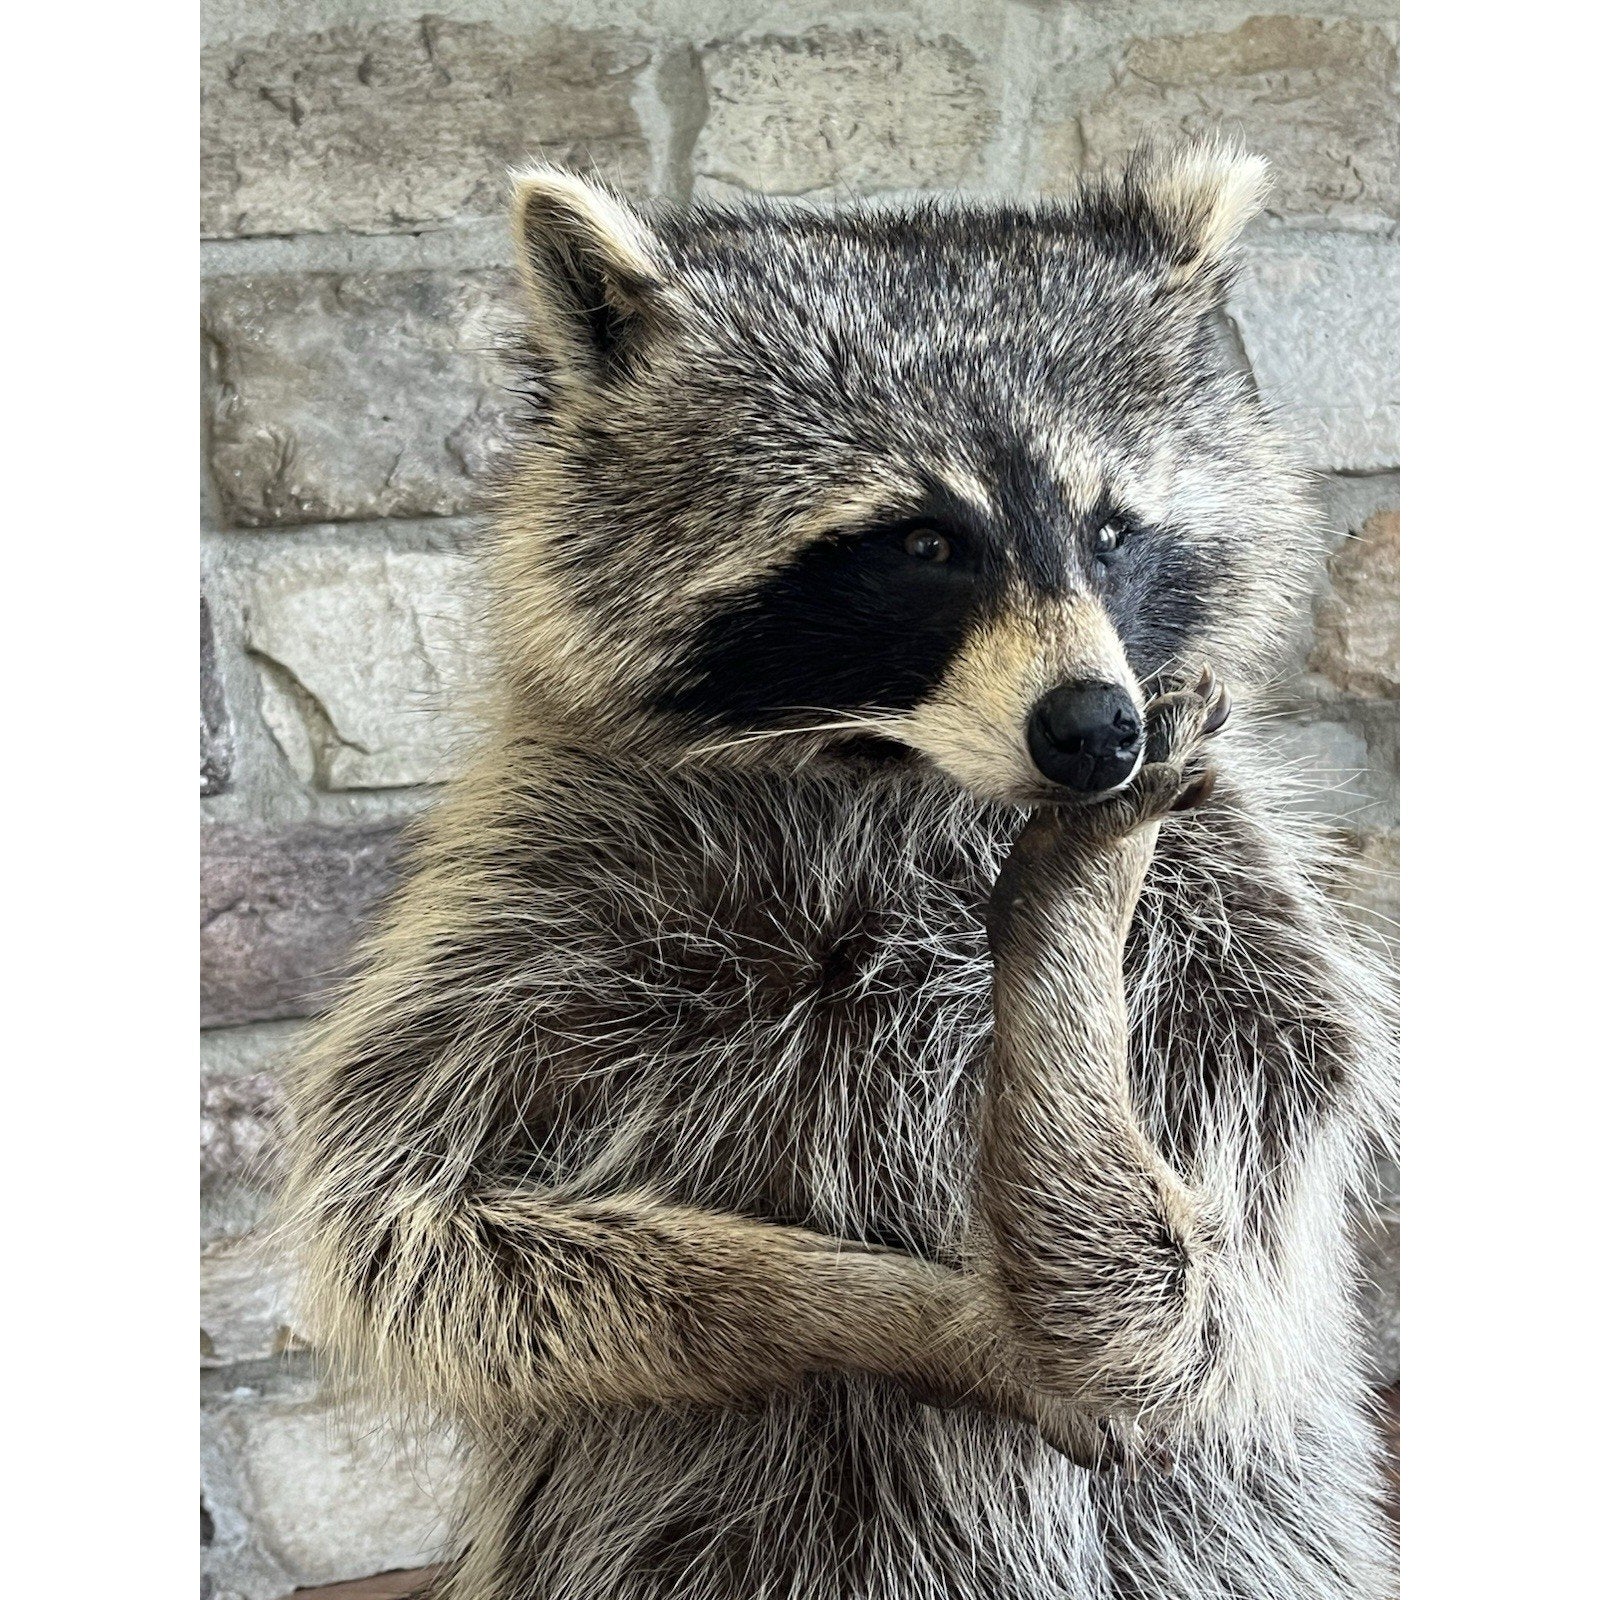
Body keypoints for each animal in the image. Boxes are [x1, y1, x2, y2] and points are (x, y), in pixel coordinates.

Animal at [281, 144, 1399, 1600]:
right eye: (923, 544)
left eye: (1110, 534)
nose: (1096, 732)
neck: (897, 766)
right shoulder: (537, 876)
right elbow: (412, 1228)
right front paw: (898, 1314)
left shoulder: (1237, 913)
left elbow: (1203, 1290)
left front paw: (1069, 952)